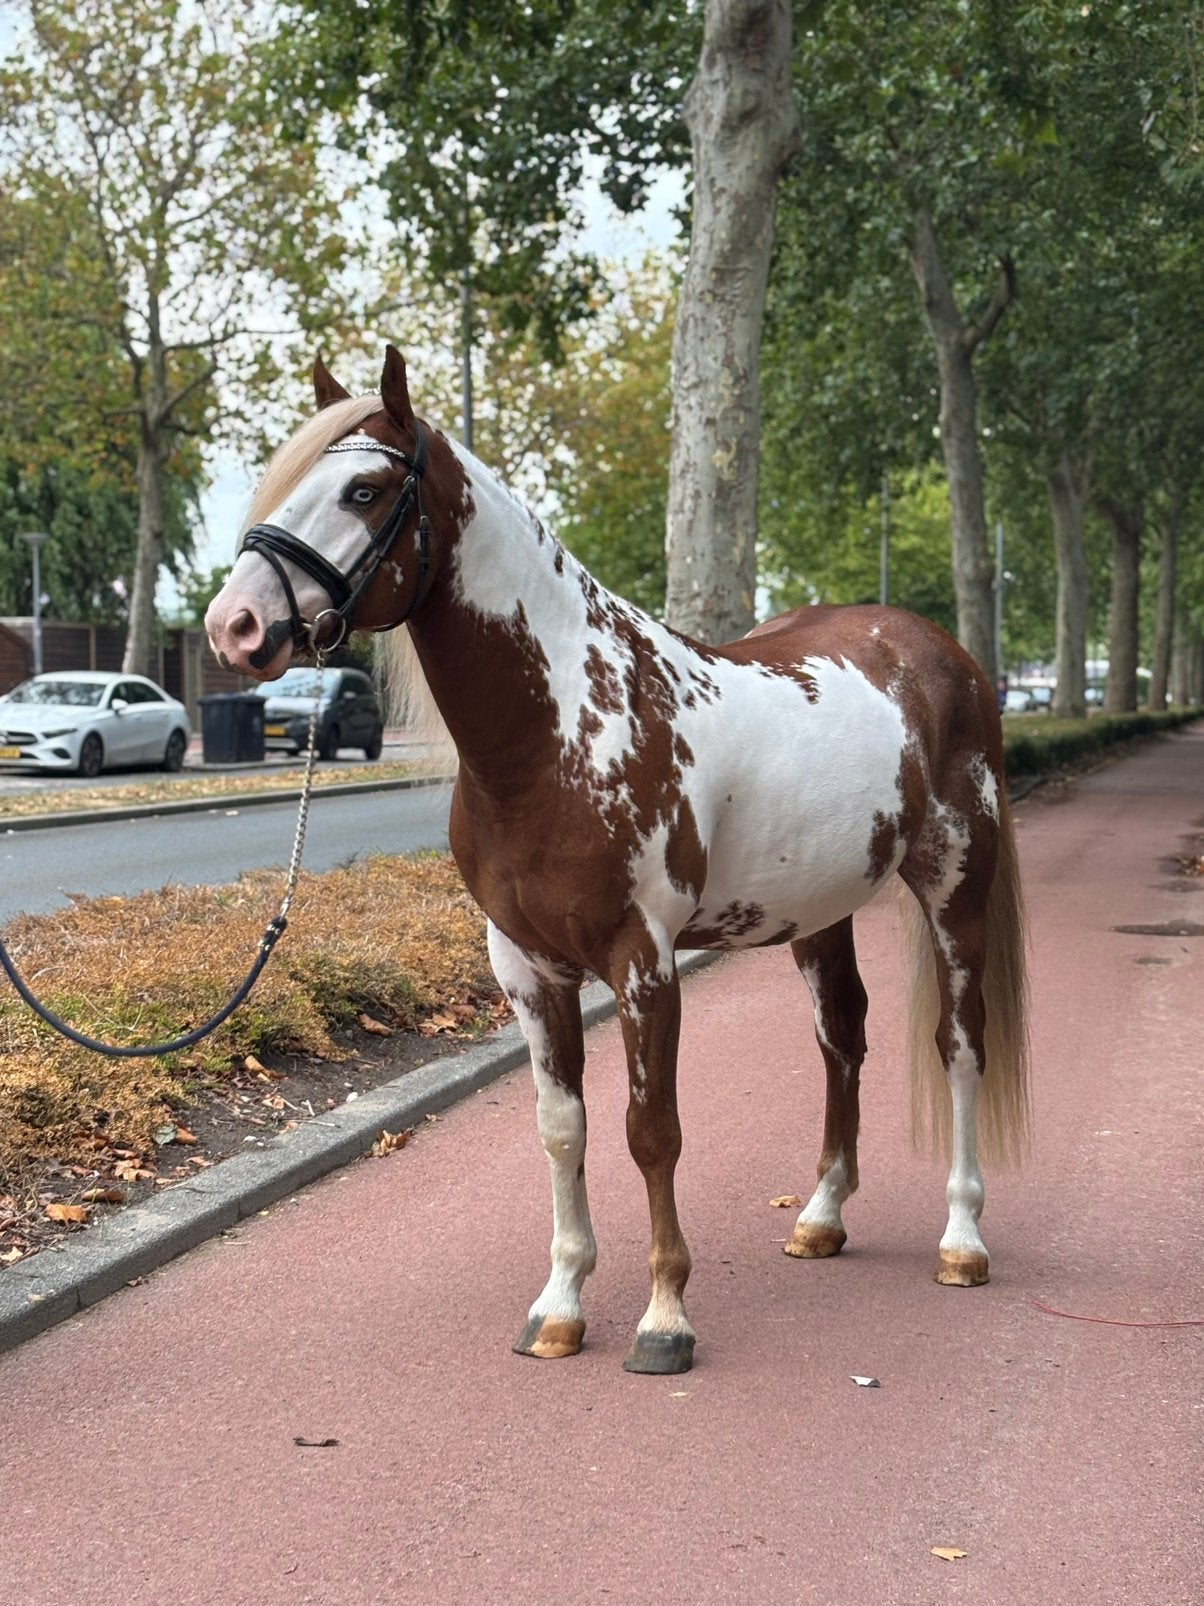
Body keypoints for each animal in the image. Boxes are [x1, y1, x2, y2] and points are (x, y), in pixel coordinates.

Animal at [205, 347, 1030, 1376]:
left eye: (363, 489)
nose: (233, 626)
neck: (563, 729)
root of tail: (939, 652)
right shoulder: (525, 967)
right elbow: (564, 1132)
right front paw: (559, 1306)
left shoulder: (645, 963)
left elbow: (651, 1132)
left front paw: (665, 1316)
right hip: (821, 909)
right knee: (842, 1037)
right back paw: (822, 1217)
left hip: (957, 888)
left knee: (960, 1045)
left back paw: (964, 1240)